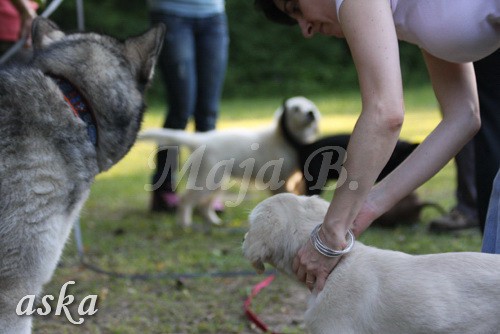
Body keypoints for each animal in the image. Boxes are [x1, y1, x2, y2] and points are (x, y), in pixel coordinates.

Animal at [140, 95, 320, 228]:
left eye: (310, 105)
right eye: (296, 109)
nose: (311, 113)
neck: (284, 138)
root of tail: (200, 140)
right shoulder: (279, 181)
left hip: (217, 182)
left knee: (204, 205)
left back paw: (213, 222)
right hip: (206, 181)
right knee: (186, 201)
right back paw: (184, 224)